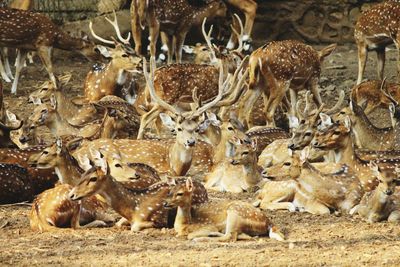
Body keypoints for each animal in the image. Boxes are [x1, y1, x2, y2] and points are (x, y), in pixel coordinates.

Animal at [68, 156, 208, 231]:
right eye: (82, 174)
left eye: (93, 178)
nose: (71, 195)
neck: (133, 209)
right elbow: (118, 223)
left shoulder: (159, 219)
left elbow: (135, 227)